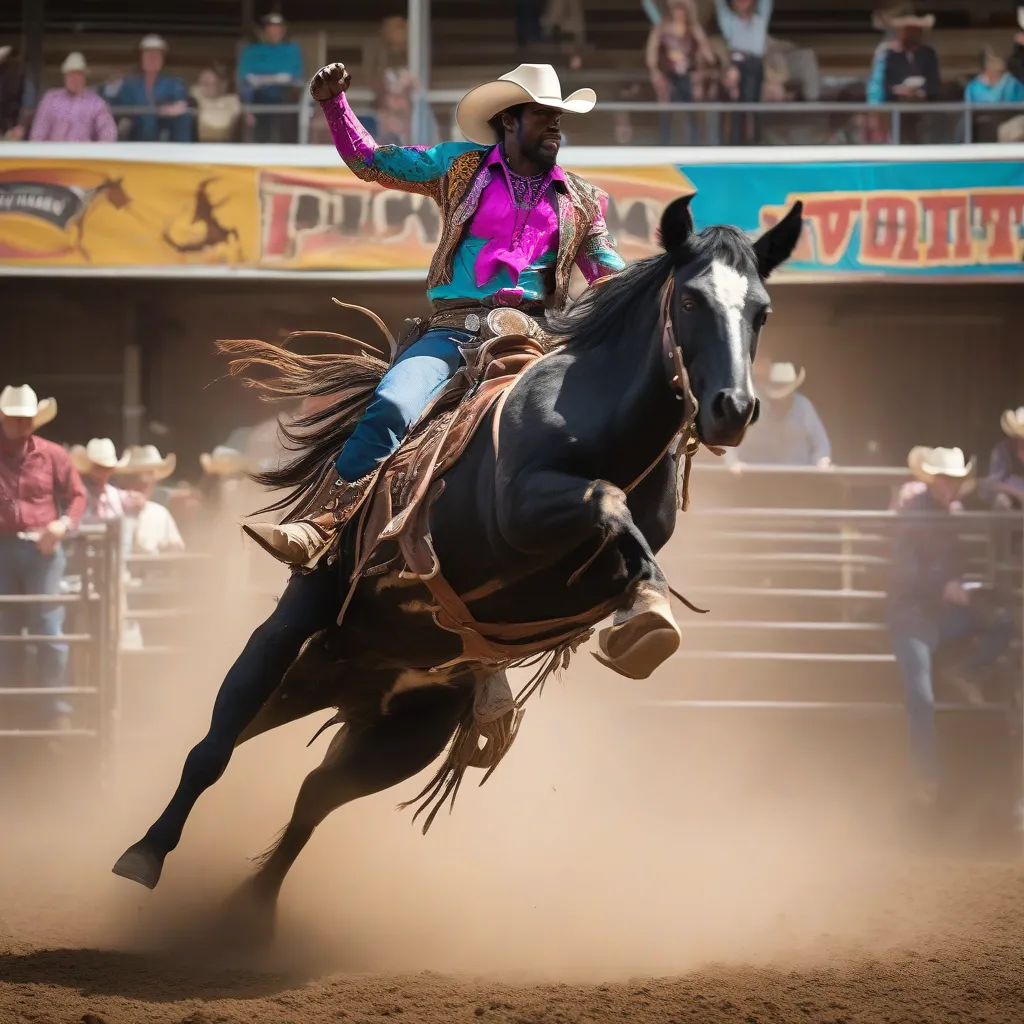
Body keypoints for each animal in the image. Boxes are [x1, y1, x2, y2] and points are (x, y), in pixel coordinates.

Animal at [116, 193, 802, 929]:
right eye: (695, 300)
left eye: (762, 310)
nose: (733, 408)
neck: (601, 424)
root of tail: (347, 676)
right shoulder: (517, 510)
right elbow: (605, 502)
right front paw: (646, 614)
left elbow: (627, 548)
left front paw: (646, 613)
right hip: (289, 637)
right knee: (216, 743)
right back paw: (144, 853)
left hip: (401, 731)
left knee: (313, 796)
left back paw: (251, 914)